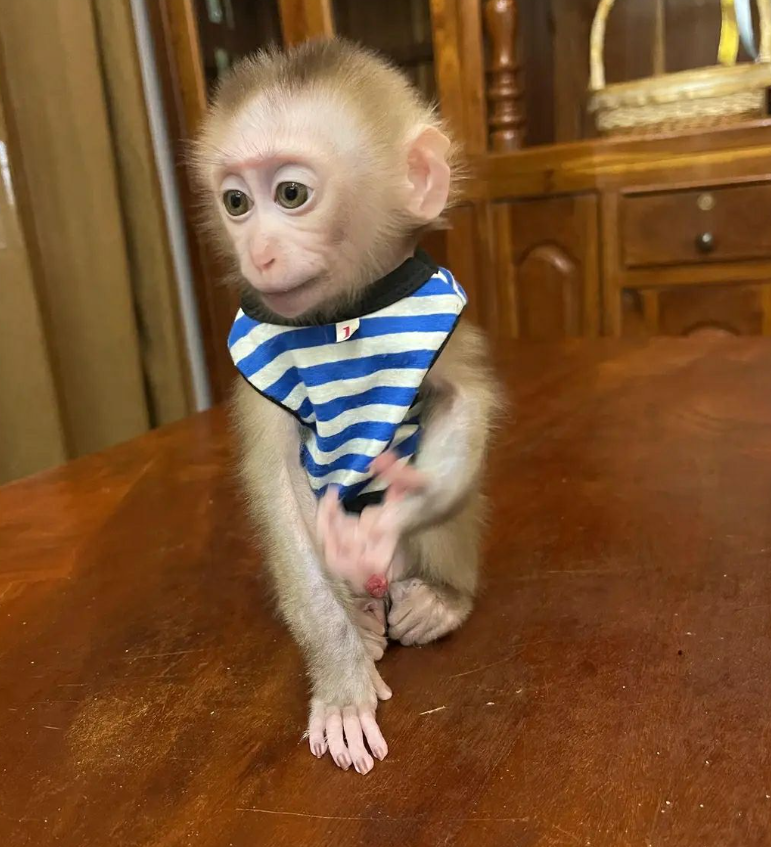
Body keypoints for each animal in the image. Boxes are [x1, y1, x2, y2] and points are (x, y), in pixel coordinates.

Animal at [193, 38, 500, 775]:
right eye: (236, 202)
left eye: (291, 194)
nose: (258, 252)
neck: (343, 311)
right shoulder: (257, 344)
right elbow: (275, 481)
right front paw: (339, 673)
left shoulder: (441, 314)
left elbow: (463, 403)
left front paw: (388, 522)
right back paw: (359, 617)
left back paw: (440, 599)